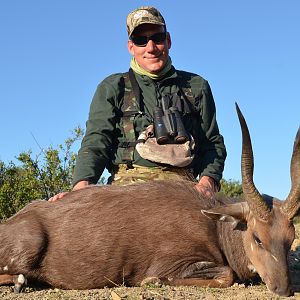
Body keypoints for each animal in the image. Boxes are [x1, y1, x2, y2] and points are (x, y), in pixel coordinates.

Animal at [0, 104, 298, 296]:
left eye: (289, 239)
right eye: (258, 238)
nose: (283, 290)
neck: (214, 226)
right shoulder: (176, 262)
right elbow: (226, 275)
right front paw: (152, 281)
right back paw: (18, 281)